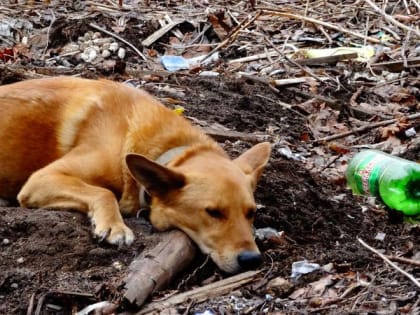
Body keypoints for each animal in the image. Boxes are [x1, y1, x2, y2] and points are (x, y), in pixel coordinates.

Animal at [0, 78, 270, 274]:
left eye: (251, 213)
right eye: (213, 213)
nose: (251, 260)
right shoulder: (41, 179)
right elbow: (104, 192)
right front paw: (114, 225)